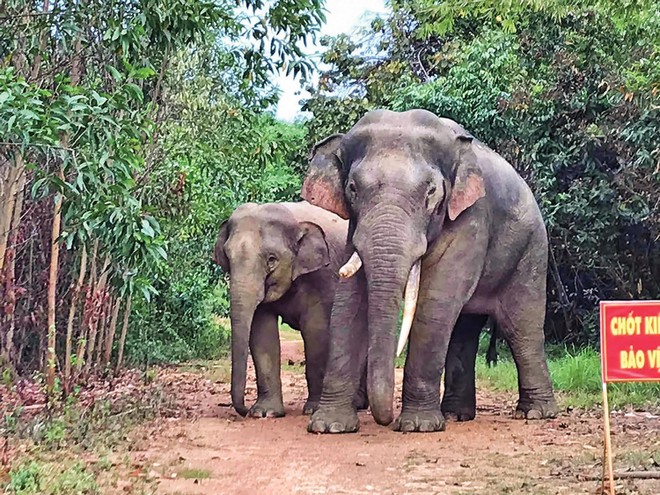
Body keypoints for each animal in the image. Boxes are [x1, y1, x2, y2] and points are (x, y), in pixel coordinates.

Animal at [214, 202, 368, 418]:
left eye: (272, 259)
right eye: (227, 256)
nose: (245, 410)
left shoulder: (324, 277)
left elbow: (317, 333)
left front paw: (313, 409)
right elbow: (262, 334)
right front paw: (264, 413)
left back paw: (358, 403)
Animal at [302, 109, 556, 434]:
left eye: (431, 191)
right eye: (352, 189)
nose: (384, 420)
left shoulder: (471, 217)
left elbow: (436, 300)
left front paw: (417, 426)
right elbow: (349, 303)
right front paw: (329, 426)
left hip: (532, 249)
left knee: (522, 326)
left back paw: (536, 413)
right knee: (465, 330)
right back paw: (456, 415)